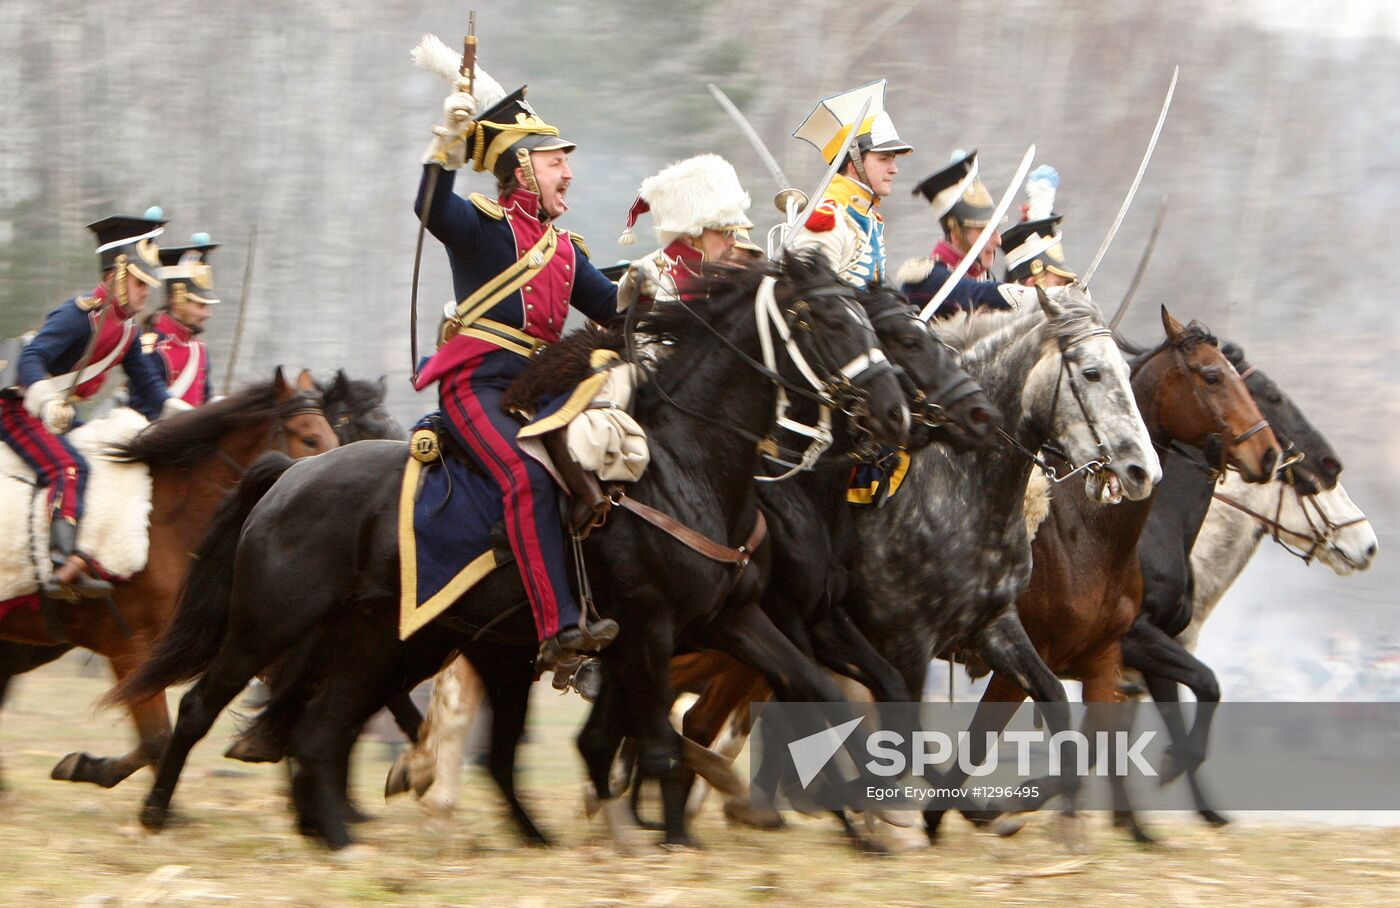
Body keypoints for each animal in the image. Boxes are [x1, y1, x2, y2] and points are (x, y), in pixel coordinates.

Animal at [114, 253, 912, 850]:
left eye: (864, 316)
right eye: (823, 318)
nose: (895, 413)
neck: (683, 465)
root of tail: (288, 475)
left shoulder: (733, 620)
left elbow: (809, 688)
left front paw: (861, 815)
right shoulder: (649, 632)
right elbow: (656, 742)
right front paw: (673, 838)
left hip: (381, 642)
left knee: (322, 733)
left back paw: (350, 835)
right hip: (268, 624)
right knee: (205, 706)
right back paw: (158, 813)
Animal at [924, 304, 1282, 833]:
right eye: (1213, 376)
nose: (1270, 454)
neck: (1089, 534)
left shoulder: (1108, 655)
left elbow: (1177, 699)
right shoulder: (1035, 659)